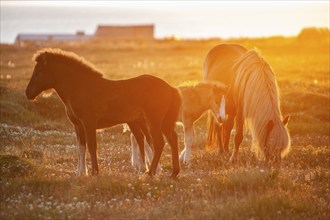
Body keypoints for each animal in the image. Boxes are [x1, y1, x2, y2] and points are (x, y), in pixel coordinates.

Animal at [25, 48, 180, 177]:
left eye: (38, 73)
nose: (28, 93)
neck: (80, 87)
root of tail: (171, 88)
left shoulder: (89, 123)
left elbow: (92, 146)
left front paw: (95, 172)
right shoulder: (78, 125)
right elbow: (80, 147)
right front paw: (81, 172)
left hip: (153, 121)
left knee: (159, 142)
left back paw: (151, 173)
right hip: (159, 122)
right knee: (171, 139)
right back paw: (173, 173)